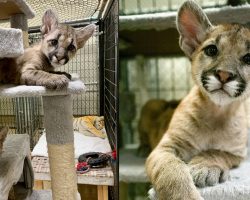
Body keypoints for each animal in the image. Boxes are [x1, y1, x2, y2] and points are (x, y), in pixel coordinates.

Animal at [146, 0, 249, 199]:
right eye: (211, 50)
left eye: (248, 58)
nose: (224, 74)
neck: (217, 112)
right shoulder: (165, 147)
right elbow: (171, 170)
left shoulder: (239, 152)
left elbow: (217, 150)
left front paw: (204, 167)